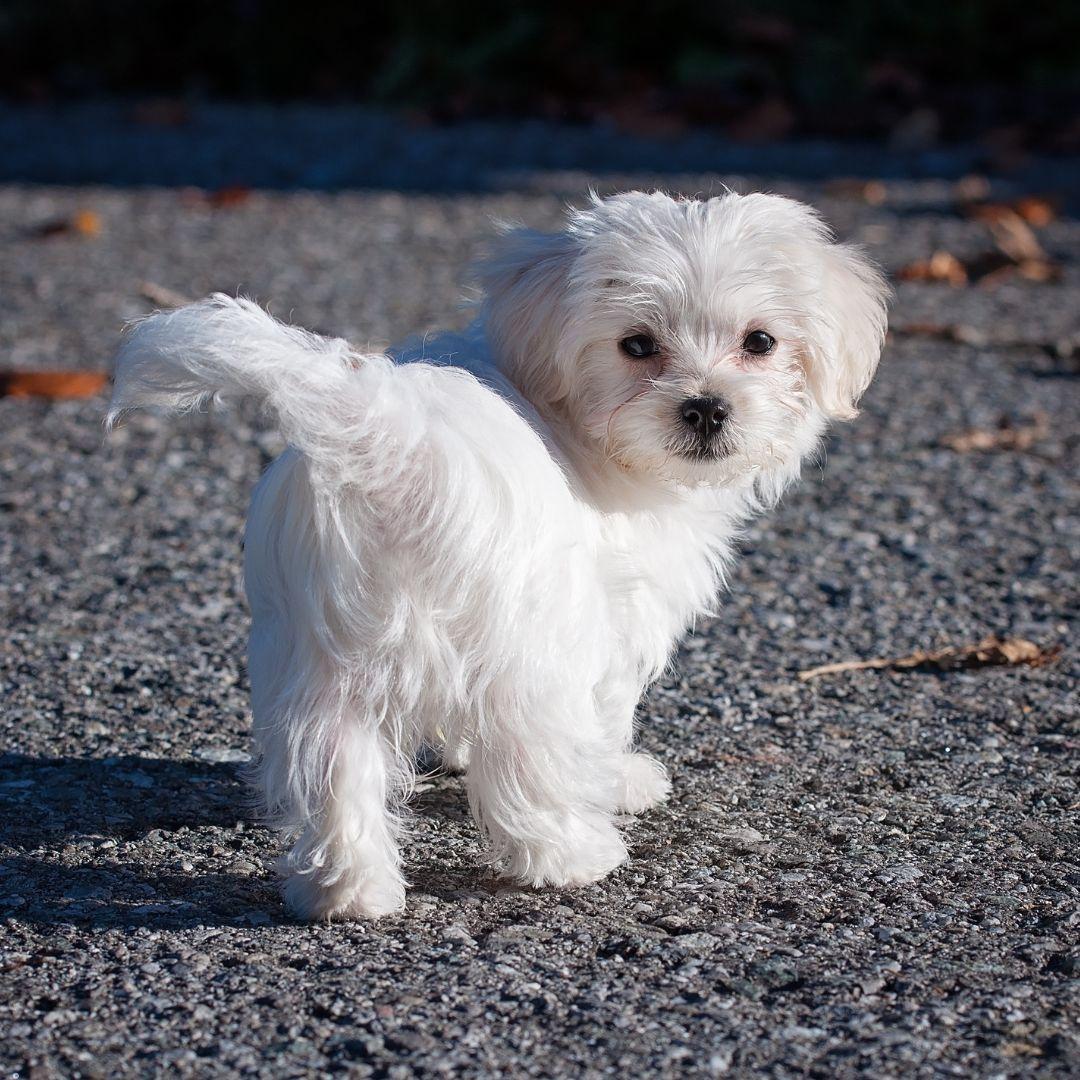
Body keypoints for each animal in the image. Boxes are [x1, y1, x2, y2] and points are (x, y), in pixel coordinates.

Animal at [107, 192, 885, 920]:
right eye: (636, 345)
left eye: (761, 341)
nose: (706, 408)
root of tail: (391, 441)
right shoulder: (611, 617)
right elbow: (605, 715)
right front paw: (619, 780)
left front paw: (455, 754)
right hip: (527, 645)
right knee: (529, 757)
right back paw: (572, 856)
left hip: (320, 656)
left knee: (333, 768)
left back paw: (347, 892)